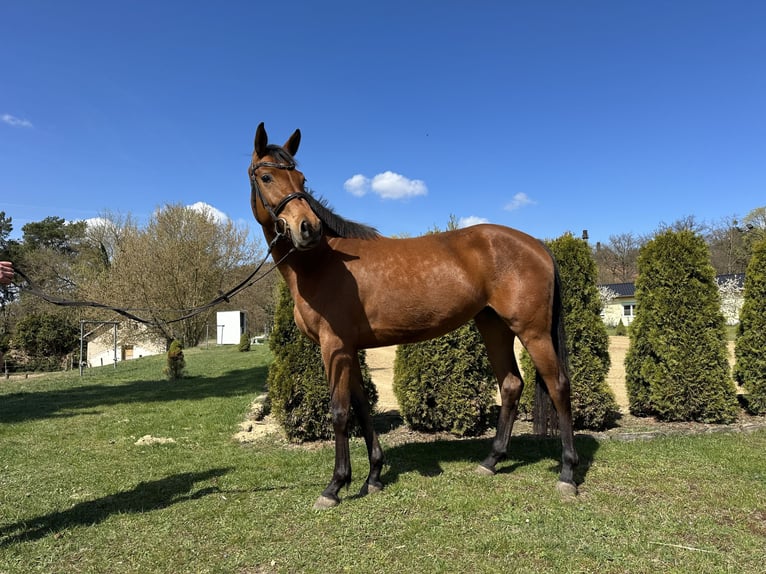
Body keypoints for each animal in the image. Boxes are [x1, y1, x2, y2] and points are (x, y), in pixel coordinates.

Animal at [248, 123, 578, 509]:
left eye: (301, 178)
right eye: (267, 177)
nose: (308, 228)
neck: (322, 263)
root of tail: (538, 244)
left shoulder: (335, 347)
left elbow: (340, 412)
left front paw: (334, 486)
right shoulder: (350, 349)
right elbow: (362, 408)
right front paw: (374, 476)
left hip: (533, 331)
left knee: (558, 385)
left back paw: (567, 475)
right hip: (494, 326)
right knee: (511, 385)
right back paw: (491, 461)